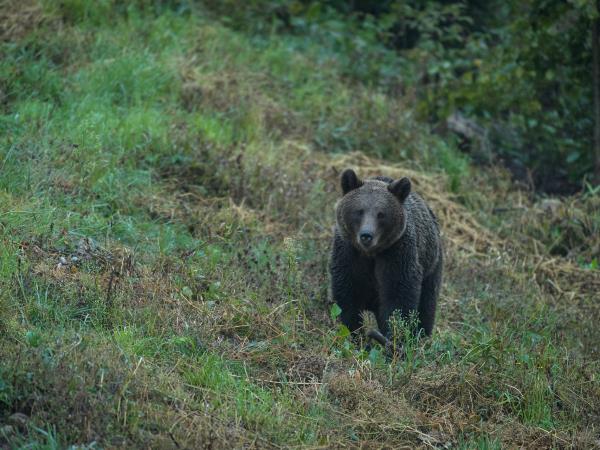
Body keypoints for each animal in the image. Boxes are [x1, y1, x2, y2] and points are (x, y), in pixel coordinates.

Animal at [330, 169, 442, 342]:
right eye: (359, 211)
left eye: (381, 214)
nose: (366, 235)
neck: (371, 253)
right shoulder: (349, 253)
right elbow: (347, 296)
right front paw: (355, 334)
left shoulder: (396, 253)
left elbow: (398, 298)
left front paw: (394, 337)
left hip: (431, 267)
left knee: (427, 306)